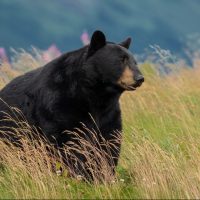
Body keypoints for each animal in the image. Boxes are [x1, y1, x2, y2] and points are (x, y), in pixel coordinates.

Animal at [0, 30, 144, 180]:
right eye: (121, 60)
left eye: (134, 62)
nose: (140, 78)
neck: (94, 94)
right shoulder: (60, 105)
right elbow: (68, 142)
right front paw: (78, 174)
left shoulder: (109, 112)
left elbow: (109, 142)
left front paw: (104, 176)